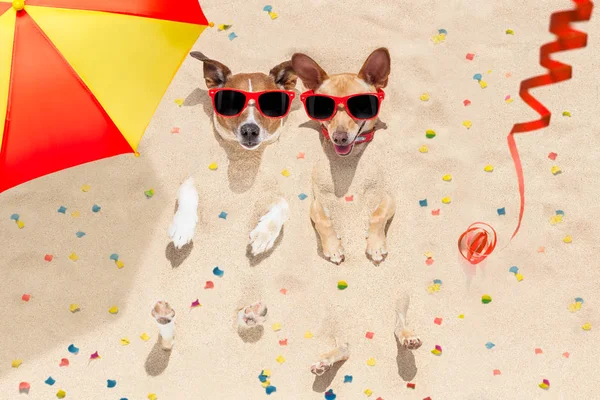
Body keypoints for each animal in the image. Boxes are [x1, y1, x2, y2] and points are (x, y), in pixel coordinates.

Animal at [168, 53, 296, 256]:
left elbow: (283, 206)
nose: (250, 130)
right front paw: (183, 227)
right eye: (231, 103)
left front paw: (264, 234)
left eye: (270, 103)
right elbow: (189, 192)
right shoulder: (195, 177)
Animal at [292, 48, 396, 264]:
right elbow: (323, 220)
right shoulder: (316, 204)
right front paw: (333, 247)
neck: (348, 163)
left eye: (361, 106)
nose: (339, 137)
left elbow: (377, 215)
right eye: (323, 109)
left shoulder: (388, 198)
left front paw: (375, 244)